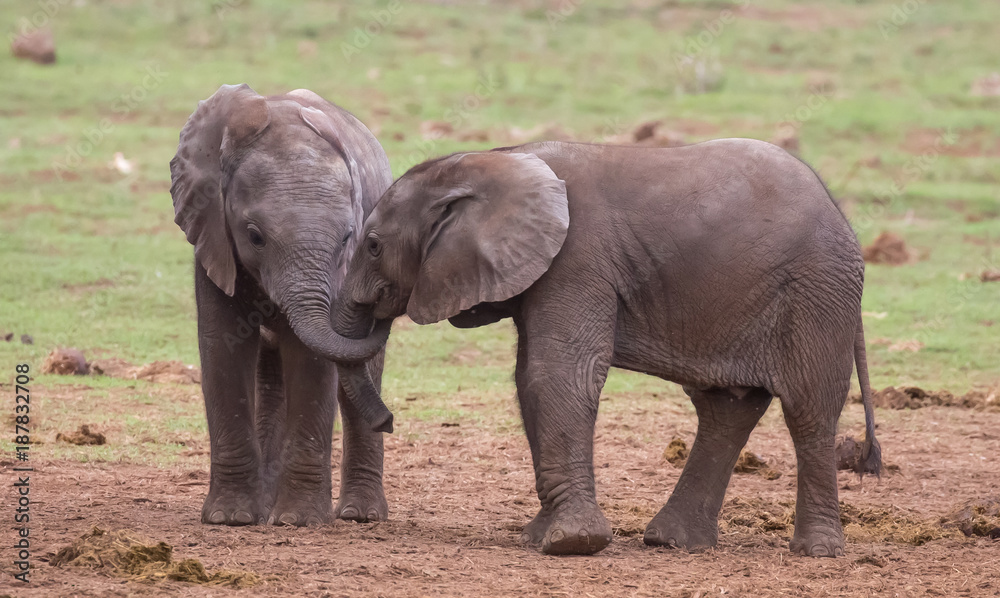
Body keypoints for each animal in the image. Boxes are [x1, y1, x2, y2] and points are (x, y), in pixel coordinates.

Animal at [169, 84, 395, 528]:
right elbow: (223, 348)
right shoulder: (212, 235)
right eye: (254, 236)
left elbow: (313, 360)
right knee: (272, 378)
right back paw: (266, 508)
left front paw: (299, 521)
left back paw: (358, 515)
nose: (390, 420)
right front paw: (230, 518)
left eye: (349, 237)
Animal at [333, 139, 882, 556]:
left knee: (809, 409)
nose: (389, 420)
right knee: (727, 407)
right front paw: (540, 537)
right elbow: (529, 378)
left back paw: (816, 551)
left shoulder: (577, 259)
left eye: (373, 246)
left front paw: (570, 544)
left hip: (816, 293)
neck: (493, 160)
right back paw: (672, 543)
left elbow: (557, 373)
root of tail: (842, 219)